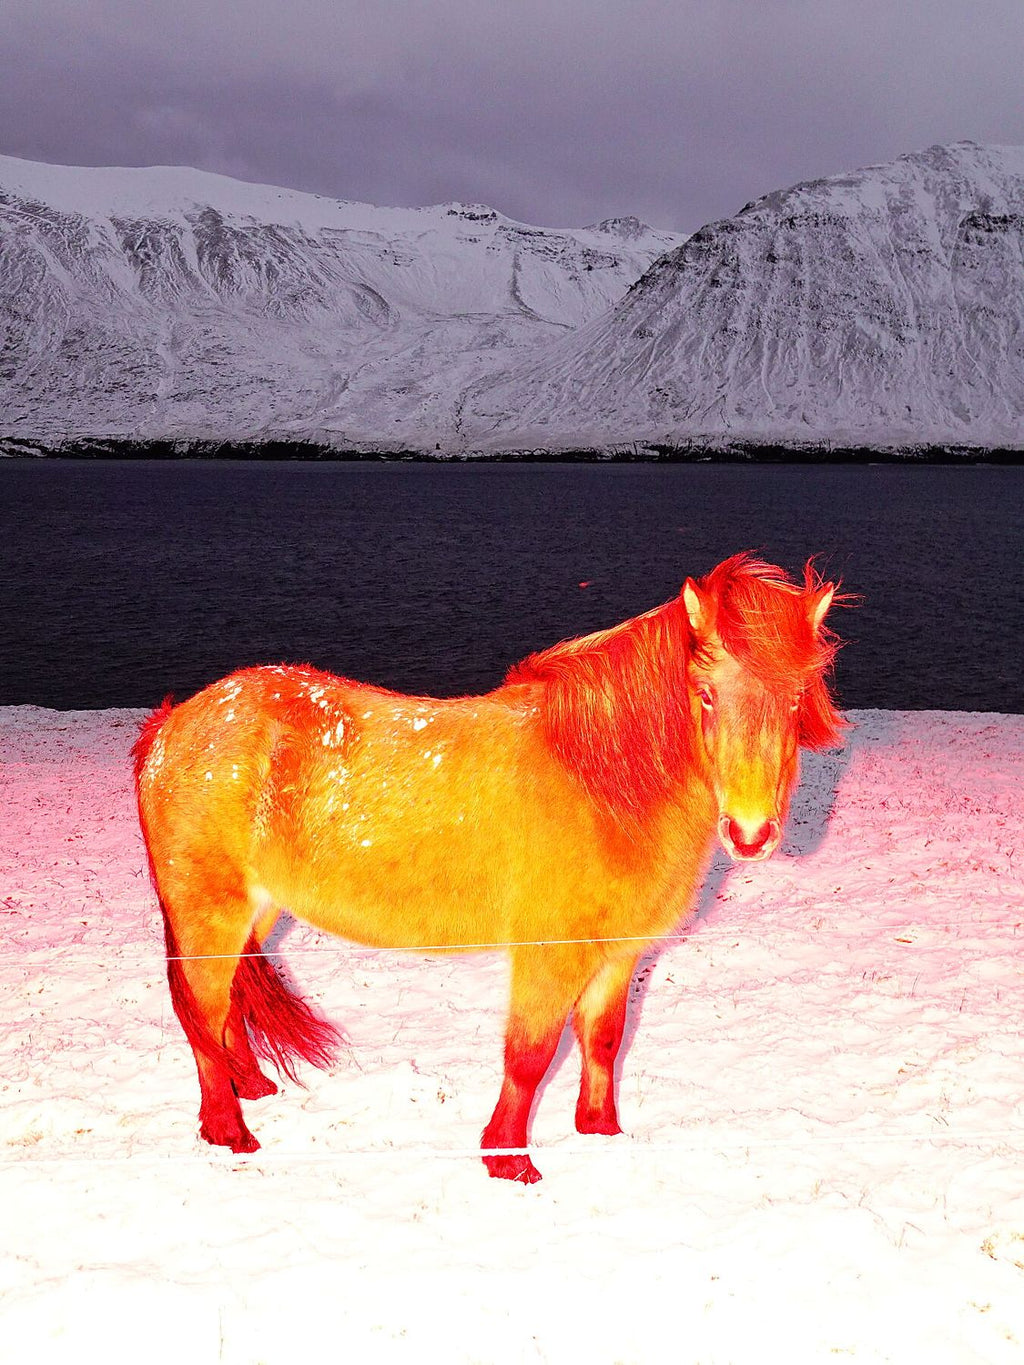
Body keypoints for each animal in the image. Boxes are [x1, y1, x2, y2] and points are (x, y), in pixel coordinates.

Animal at [133, 552, 845, 1182]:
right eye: (704, 694)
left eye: (796, 699)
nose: (750, 834)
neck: (601, 782)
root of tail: (176, 722)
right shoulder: (549, 956)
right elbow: (529, 1057)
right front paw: (508, 1162)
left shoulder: (618, 956)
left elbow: (603, 1040)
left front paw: (601, 1134)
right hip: (208, 914)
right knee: (200, 1015)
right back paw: (229, 1131)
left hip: (256, 911)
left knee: (227, 1006)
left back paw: (251, 1087)